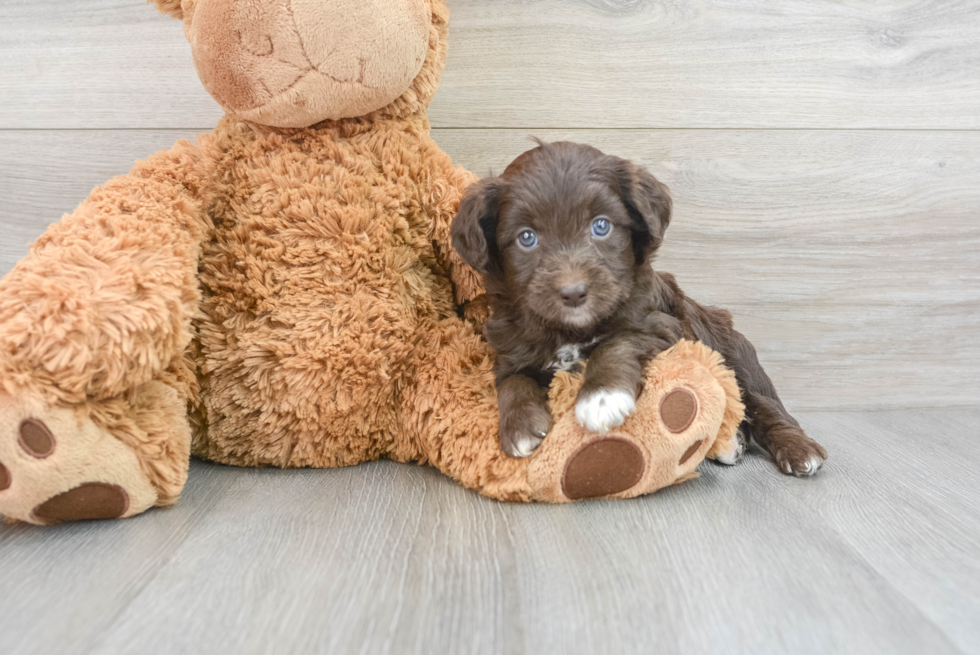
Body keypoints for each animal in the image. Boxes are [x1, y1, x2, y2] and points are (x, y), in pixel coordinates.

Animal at [452, 141, 828, 476]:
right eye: (527, 237)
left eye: (601, 225)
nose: (573, 293)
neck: (569, 328)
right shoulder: (510, 348)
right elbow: (512, 381)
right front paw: (520, 428)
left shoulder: (663, 327)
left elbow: (617, 341)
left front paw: (601, 397)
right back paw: (731, 443)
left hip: (738, 358)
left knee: (766, 406)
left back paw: (798, 449)